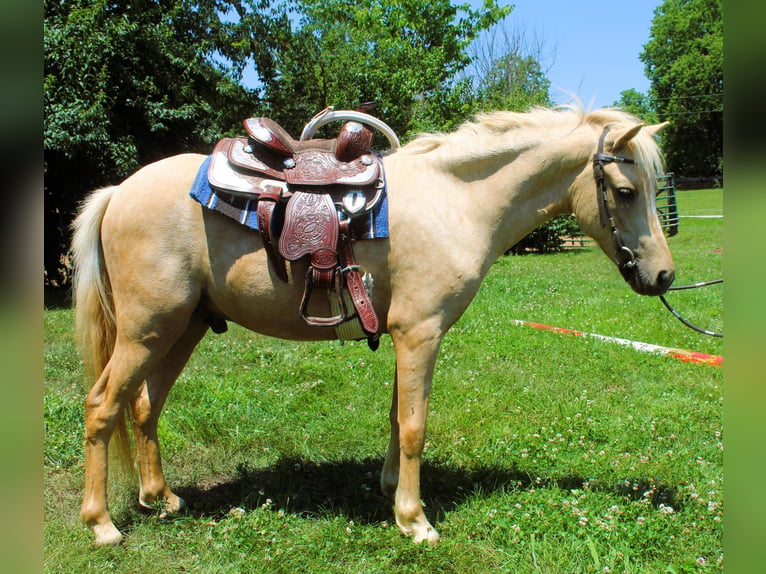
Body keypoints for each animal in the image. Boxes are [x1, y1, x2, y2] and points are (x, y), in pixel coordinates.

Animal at [70, 106, 672, 548]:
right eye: (625, 191)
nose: (663, 275)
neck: (456, 201)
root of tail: (118, 192)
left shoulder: (410, 335)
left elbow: (396, 417)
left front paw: (390, 492)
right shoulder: (420, 334)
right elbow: (414, 427)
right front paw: (415, 520)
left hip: (182, 328)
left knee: (144, 406)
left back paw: (161, 498)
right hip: (148, 330)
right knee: (102, 407)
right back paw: (102, 524)